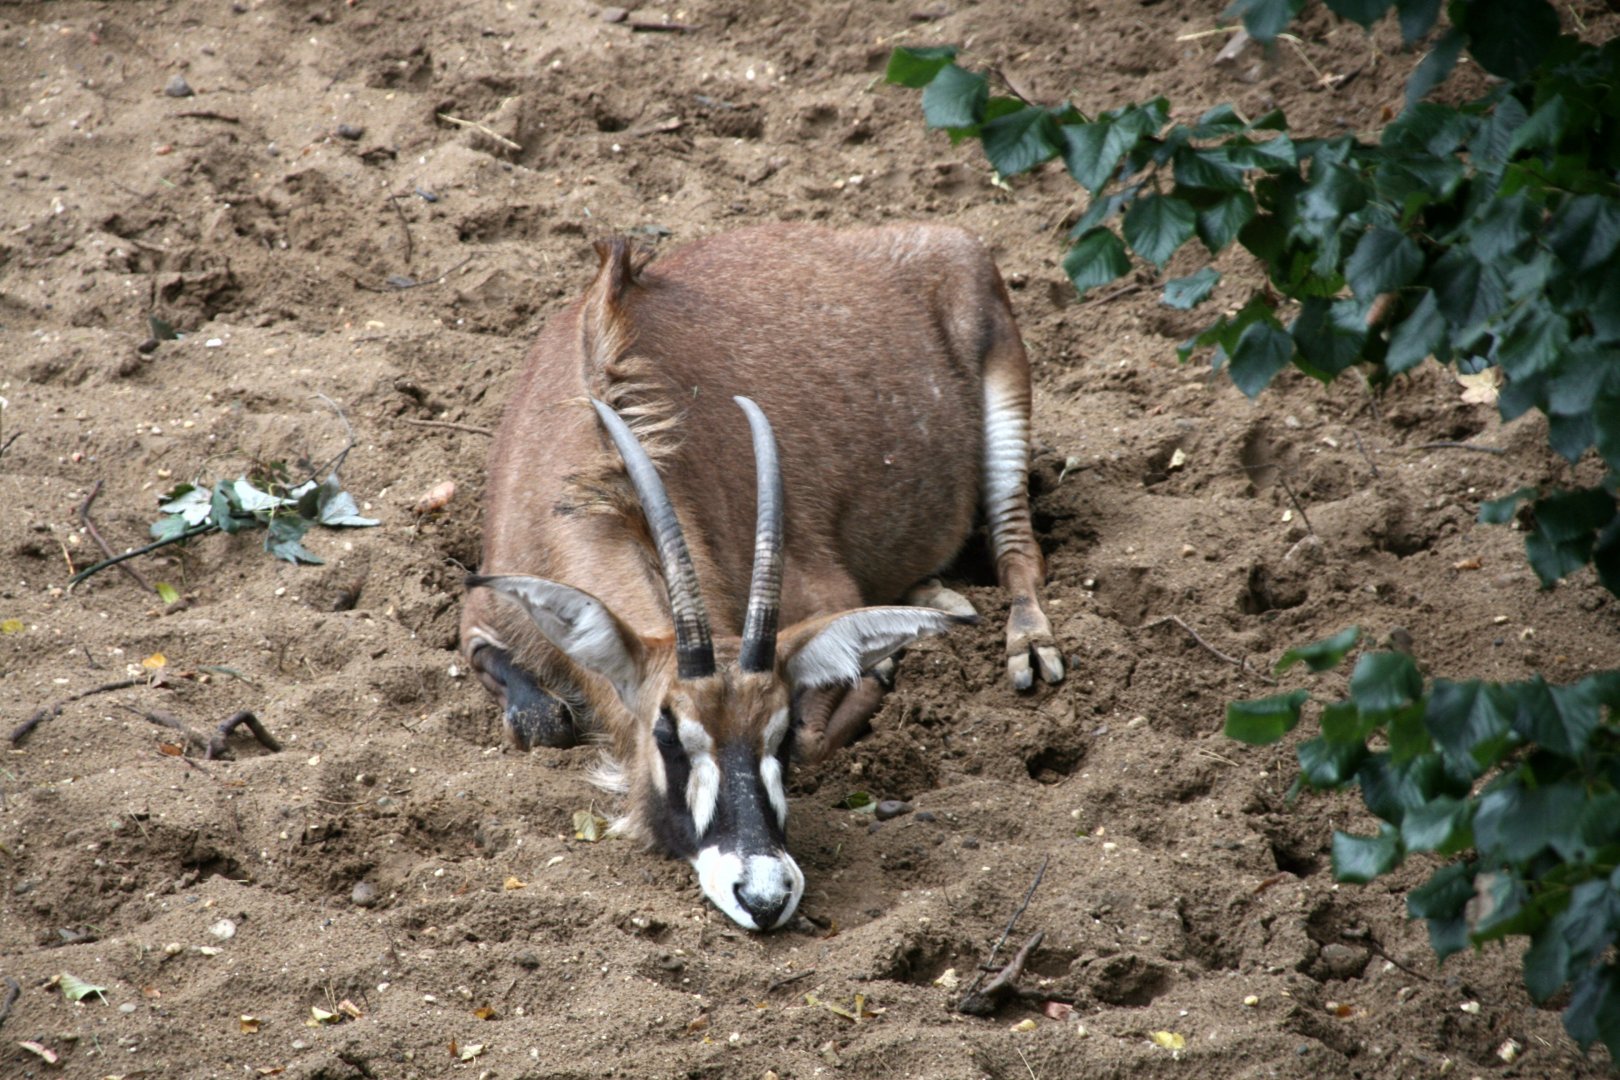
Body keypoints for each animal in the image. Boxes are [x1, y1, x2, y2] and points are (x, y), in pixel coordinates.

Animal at [461, 223, 1063, 931]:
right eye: (669, 732)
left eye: (773, 730)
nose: (766, 894)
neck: (586, 464)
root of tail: (947, 239)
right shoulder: (483, 620)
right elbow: (543, 721)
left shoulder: (819, 602)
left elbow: (817, 727)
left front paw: (881, 669)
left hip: (1007, 407)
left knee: (1019, 552)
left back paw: (1028, 644)